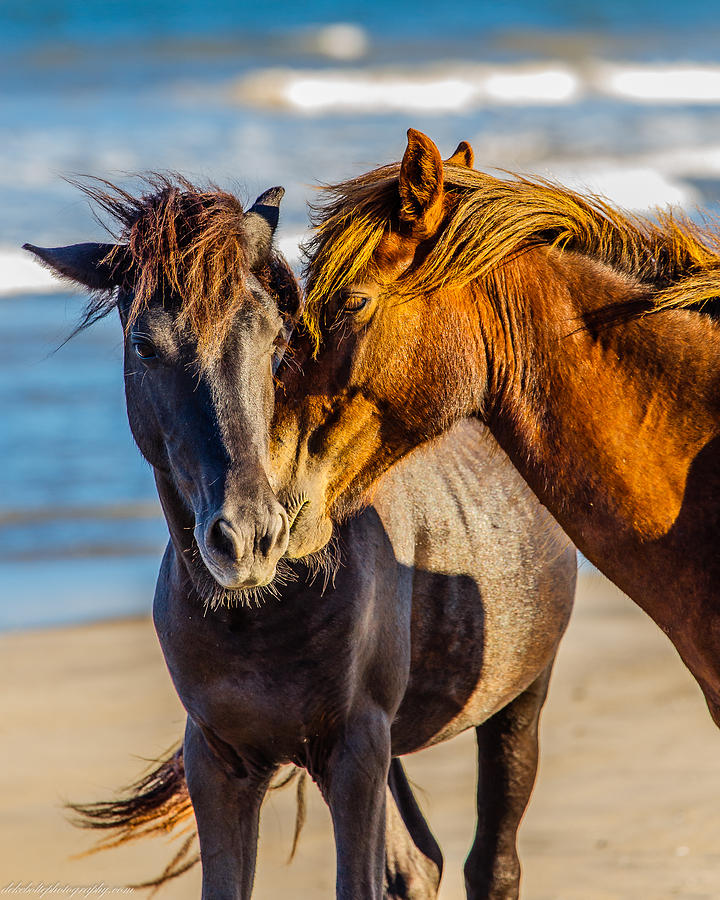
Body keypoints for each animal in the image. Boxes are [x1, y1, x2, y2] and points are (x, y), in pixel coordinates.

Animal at [23, 178, 572, 900]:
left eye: (275, 335)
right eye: (144, 346)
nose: (250, 538)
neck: (263, 614)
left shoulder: (355, 754)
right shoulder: (221, 763)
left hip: (518, 701)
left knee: (492, 861)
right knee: (418, 863)